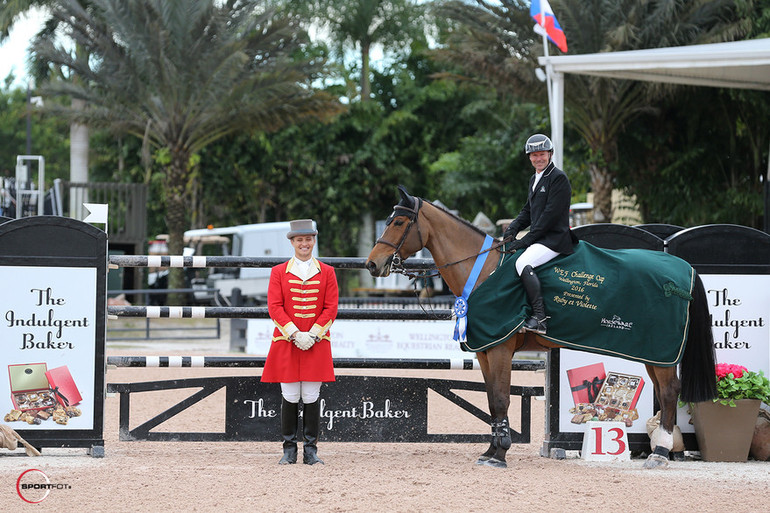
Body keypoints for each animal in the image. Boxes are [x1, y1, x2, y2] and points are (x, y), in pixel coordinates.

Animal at [364, 187, 712, 468]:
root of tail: (683, 270)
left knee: (669, 392)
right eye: (389, 220)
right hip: (653, 352)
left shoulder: (500, 349)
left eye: (398, 222)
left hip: (661, 351)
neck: (483, 270)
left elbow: (501, 399)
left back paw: (660, 454)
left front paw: (500, 454)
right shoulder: (485, 352)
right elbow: (491, 401)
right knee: (665, 392)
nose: (372, 264)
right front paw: (490, 451)